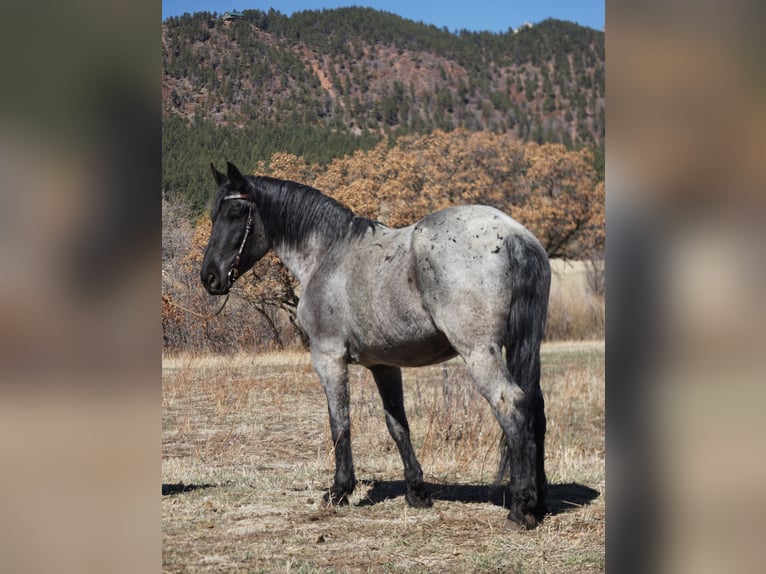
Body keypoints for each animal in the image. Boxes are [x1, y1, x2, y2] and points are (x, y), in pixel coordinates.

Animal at [202, 162, 552, 532]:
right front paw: (416, 492)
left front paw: (339, 490)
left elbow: (340, 424)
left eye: (236, 213)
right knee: (535, 406)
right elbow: (397, 424)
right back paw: (538, 501)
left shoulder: (329, 358)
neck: (327, 253)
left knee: (511, 404)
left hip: (479, 353)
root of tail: (511, 233)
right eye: (214, 214)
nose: (209, 276)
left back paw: (521, 507)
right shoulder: (384, 365)